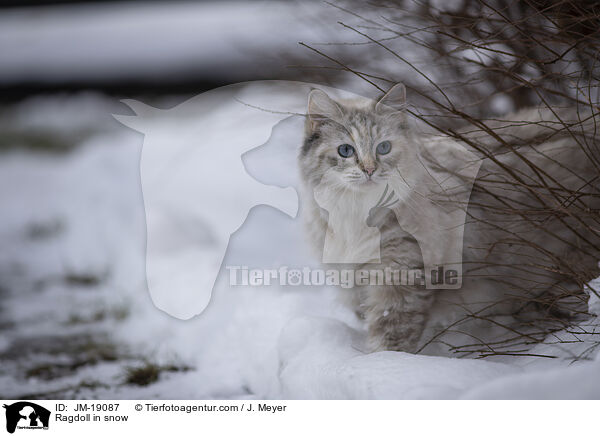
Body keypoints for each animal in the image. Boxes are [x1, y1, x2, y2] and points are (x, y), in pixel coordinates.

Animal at [300, 84, 600, 354]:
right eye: (346, 151)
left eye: (383, 148)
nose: (370, 170)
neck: (355, 217)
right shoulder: (354, 282)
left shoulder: (400, 281)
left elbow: (390, 338)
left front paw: (383, 365)